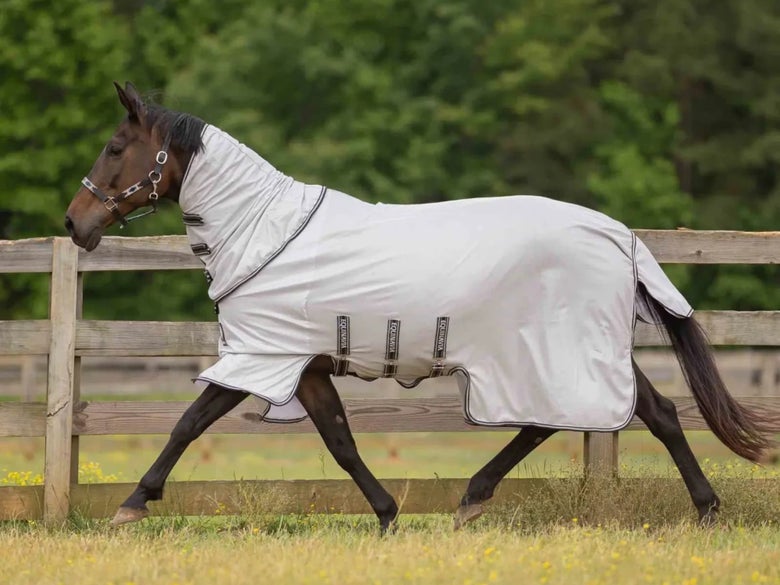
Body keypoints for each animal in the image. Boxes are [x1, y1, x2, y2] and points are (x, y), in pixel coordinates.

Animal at [64, 82, 773, 532]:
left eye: (116, 147)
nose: (74, 224)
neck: (264, 231)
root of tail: (620, 235)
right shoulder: (309, 366)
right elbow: (341, 441)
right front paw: (386, 516)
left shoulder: (263, 356)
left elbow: (187, 424)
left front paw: (132, 504)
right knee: (635, 413)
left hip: (550, 353)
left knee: (597, 416)